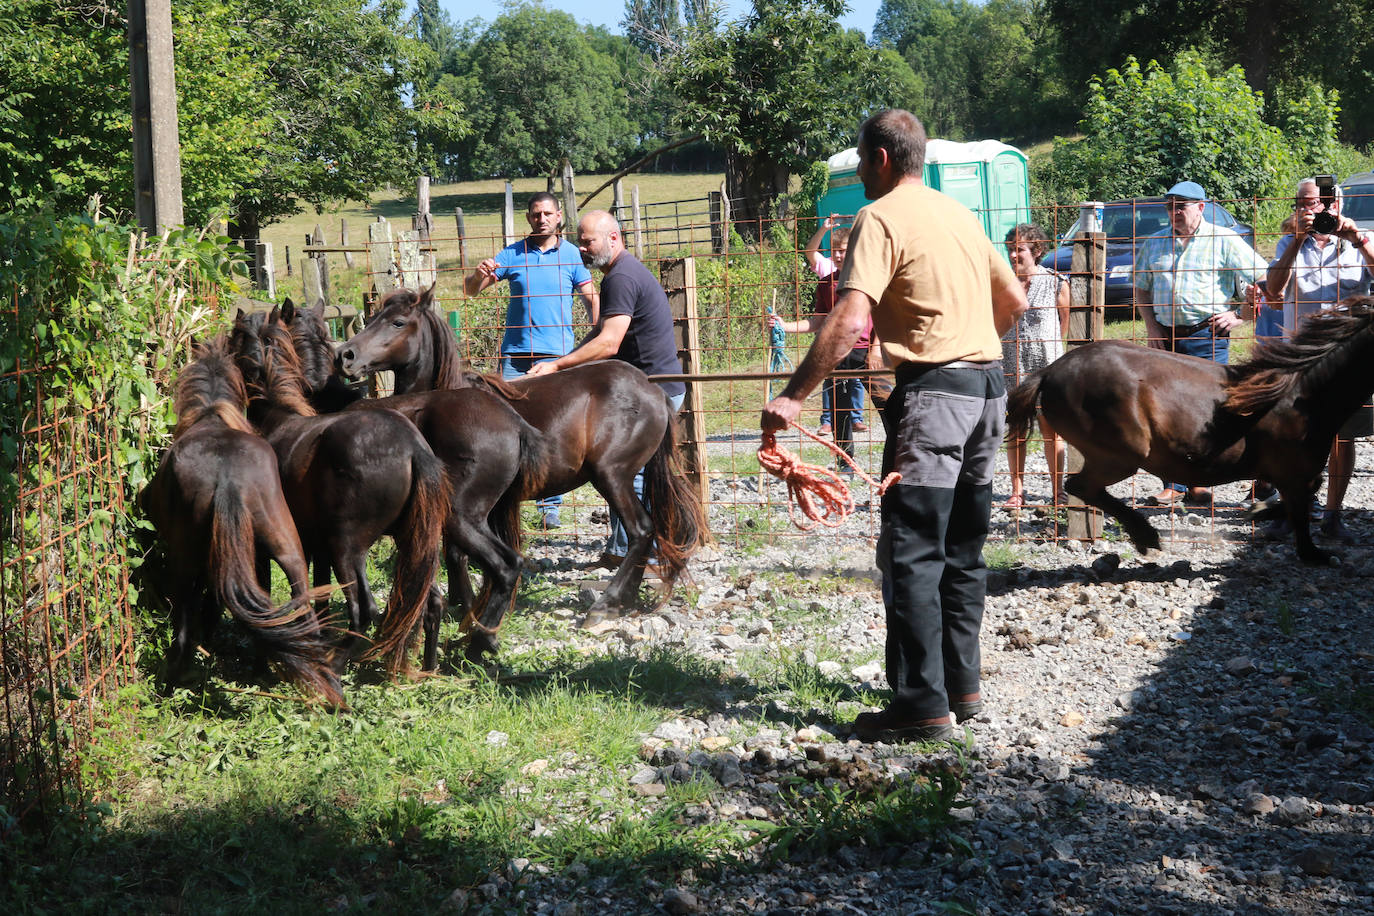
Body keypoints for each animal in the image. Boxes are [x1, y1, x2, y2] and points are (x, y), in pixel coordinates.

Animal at [1005, 295, 1374, 565]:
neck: (1302, 394)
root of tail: (1048, 372)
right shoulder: (1294, 471)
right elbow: (1301, 509)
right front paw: (1313, 554)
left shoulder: (1297, 473)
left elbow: (1306, 496)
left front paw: (1260, 510)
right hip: (1121, 455)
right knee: (1079, 485)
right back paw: (1146, 537)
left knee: (1082, 487)